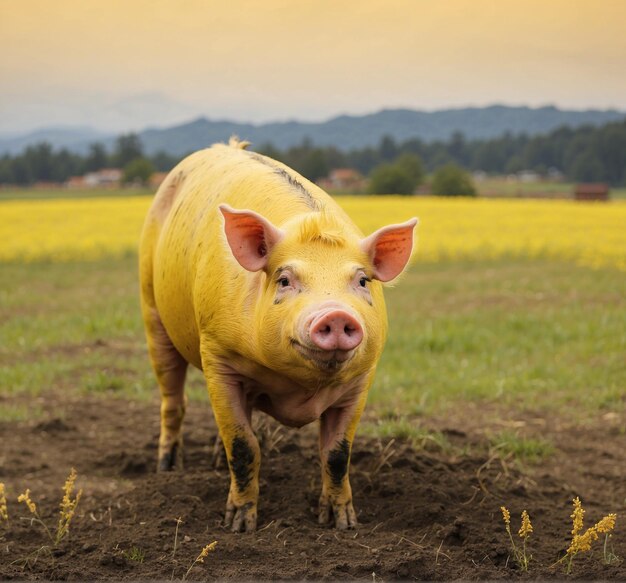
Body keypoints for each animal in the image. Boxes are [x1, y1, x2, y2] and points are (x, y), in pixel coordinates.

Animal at [139, 138, 416, 532]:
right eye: (285, 279)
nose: (336, 314)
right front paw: (240, 525)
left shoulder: (363, 377)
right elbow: (243, 445)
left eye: (362, 281)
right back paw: (167, 468)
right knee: (173, 398)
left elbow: (337, 453)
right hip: (152, 309)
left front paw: (342, 523)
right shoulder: (216, 354)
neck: (299, 388)